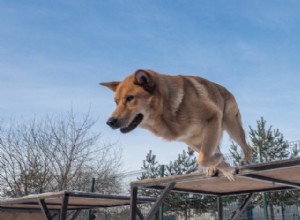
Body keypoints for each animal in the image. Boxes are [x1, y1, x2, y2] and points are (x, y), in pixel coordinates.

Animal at [100, 70, 251, 180]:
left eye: (130, 98)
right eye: (116, 102)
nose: (110, 122)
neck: (168, 108)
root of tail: (223, 88)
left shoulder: (213, 118)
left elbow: (202, 158)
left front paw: (223, 164)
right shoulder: (190, 140)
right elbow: (205, 156)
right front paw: (225, 167)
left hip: (231, 125)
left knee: (246, 146)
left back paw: (246, 161)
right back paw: (213, 167)